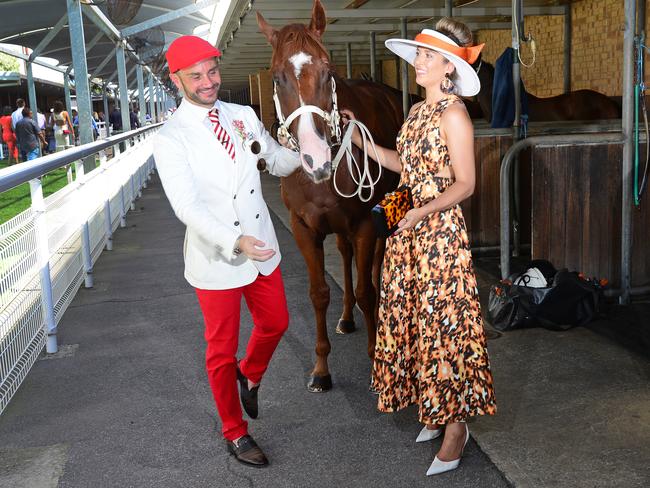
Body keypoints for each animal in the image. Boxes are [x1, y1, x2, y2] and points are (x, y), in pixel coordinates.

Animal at [256, 0, 400, 388]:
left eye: (328, 70)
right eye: (276, 77)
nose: (315, 157)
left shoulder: (364, 222)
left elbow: (367, 289)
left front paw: (374, 357)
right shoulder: (304, 227)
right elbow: (319, 293)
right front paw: (321, 369)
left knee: (374, 265)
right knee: (346, 258)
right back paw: (347, 317)